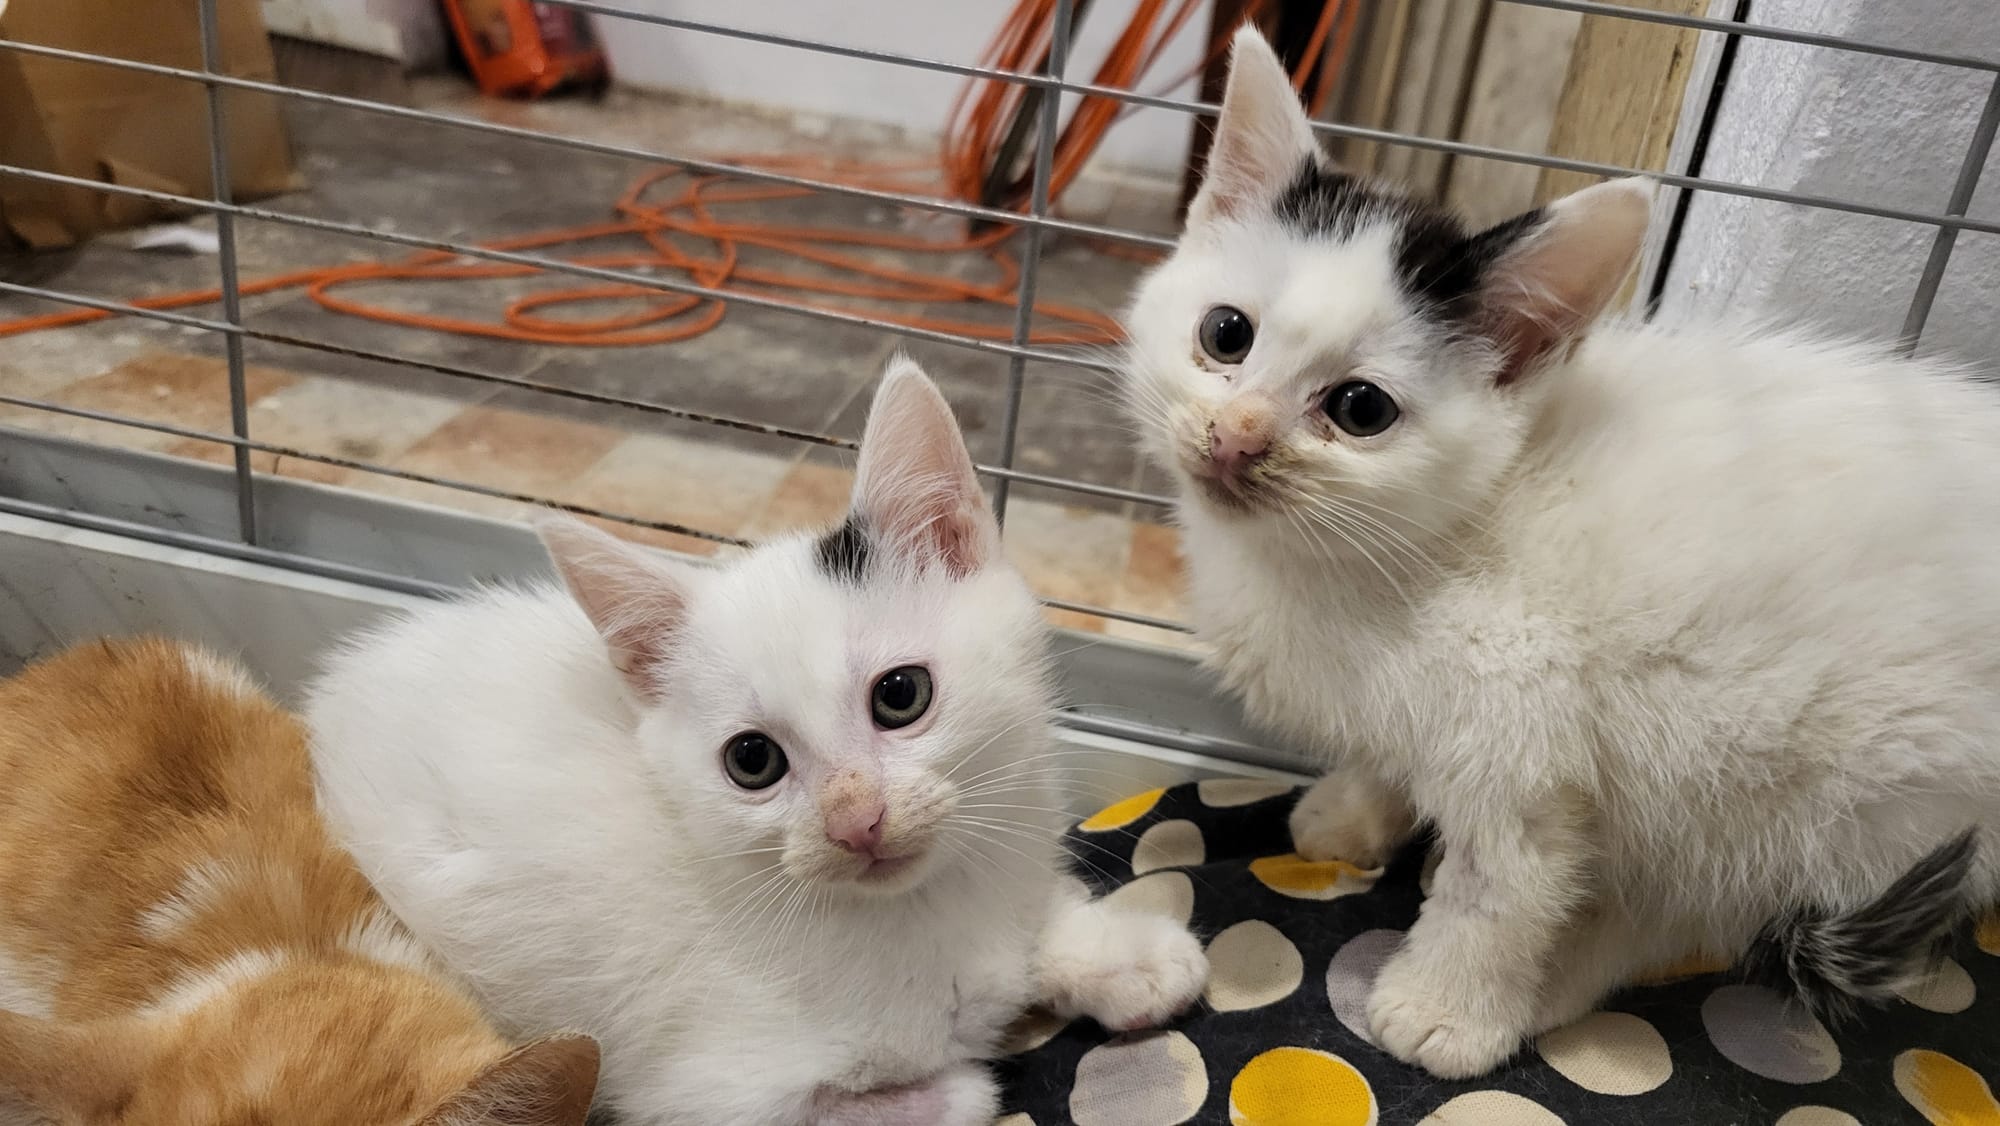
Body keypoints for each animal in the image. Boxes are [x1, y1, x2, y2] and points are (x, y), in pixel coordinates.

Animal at [306, 358, 1209, 1125]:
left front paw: (1123, 955)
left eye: (901, 696)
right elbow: (946, 1095)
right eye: (753, 762)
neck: (920, 908)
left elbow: (1035, 924)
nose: (855, 821)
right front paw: (980, 1059)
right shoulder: (698, 1098)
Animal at [1122, 25, 1997, 1080]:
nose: (1238, 438)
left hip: (1802, 778)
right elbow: (1393, 751)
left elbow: (1506, 884)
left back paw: (1558, 981)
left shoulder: (1527, 724)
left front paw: (1448, 1010)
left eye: (1360, 410)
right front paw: (1358, 811)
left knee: (1698, 908)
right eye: (1226, 334)